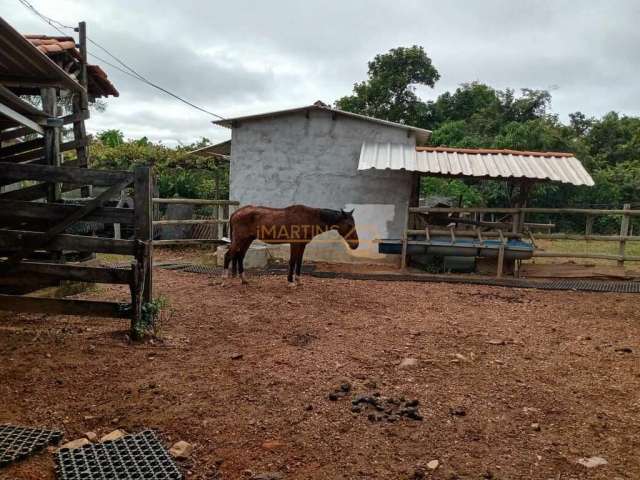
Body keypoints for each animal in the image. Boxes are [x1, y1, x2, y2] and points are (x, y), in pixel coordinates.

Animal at [225, 205, 358, 286]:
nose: (356, 245)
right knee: (228, 255)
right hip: (240, 239)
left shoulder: (302, 245)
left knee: (240, 257)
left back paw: (244, 280)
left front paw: (298, 281)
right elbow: (292, 261)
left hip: (247, 240)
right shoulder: (294, 244)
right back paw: (225, 279)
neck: (308, 218)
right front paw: (290, 281)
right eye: (350, 225)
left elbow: (299, 262)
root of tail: (236, 213)